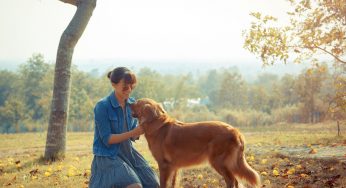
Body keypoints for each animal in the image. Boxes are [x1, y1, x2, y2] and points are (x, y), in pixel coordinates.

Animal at [130, 98, 260, 188]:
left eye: (137, 102)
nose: (129, 102)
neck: (157, 124)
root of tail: (236, 131)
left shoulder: (164, 165)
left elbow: (164, 184)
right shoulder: (174, 167)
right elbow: (173, 184)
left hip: (218, 162)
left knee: (232, 180)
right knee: (235, 181)